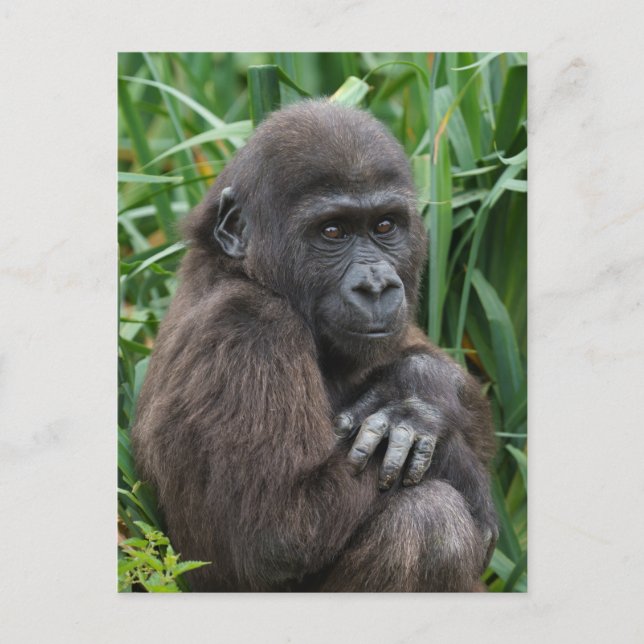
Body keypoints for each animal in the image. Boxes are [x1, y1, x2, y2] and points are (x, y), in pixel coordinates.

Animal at [131, 99, 498, 592]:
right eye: (332, 232)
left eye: (385, 225)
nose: (376, 286)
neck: (245, 271)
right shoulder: (249, 326)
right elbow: (279, 528)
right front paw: (432, 434)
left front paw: (420, 391)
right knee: (429, 520)